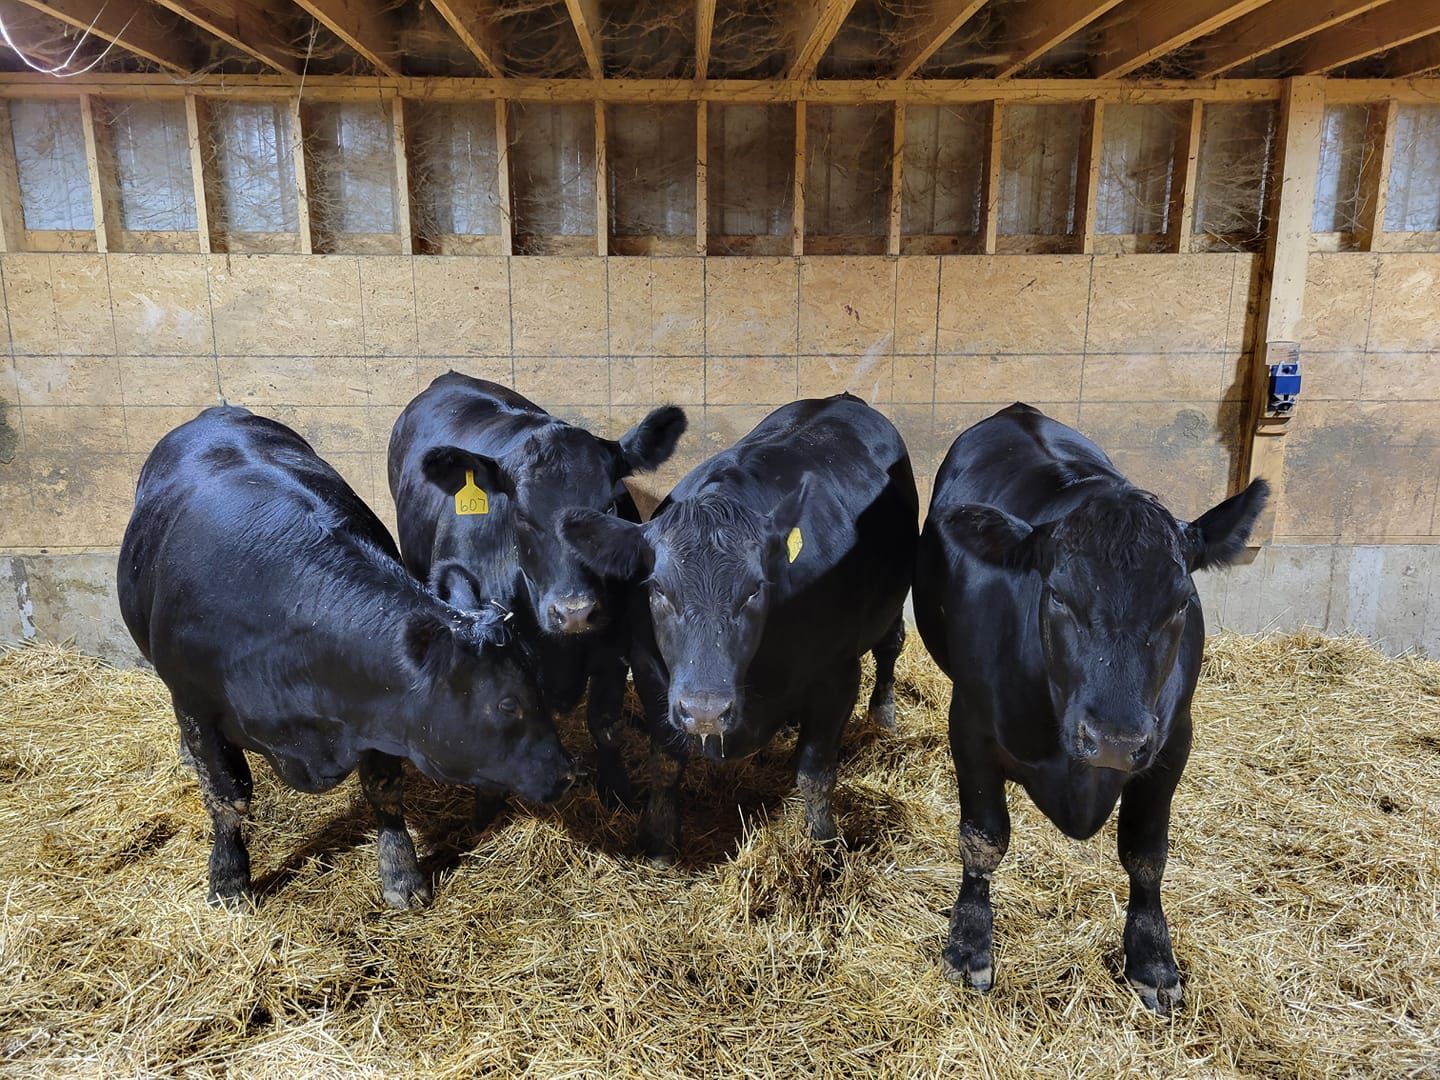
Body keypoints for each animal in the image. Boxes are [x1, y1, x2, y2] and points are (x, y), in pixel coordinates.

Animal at [118, 406, 575, 910]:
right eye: (507, 704)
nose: (567, 774)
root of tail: (218, 412)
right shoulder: (198, 706)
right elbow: (226, 798)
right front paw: (228, 879)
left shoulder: (375, 710)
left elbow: (383, 788)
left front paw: (401, 874)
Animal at [387, 372, 688, 812]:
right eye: (522, 516)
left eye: (608, 508)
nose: (575, 611)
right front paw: (486, 804)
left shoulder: (615, 646)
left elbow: (604, 723)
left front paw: (616, 791)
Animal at [558, 393, 917, 862]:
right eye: (658, 589)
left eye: (754, 590)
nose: (706, 711)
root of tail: (843, 398)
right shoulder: (653, 673)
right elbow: (666, 762)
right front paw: (658, 839)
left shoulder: (837, 675)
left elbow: (816, 771)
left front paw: (824, 845)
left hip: (895, 596)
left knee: (891, 646)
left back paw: (884, 714)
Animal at [913, 402, 1268, 1013]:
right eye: (1057, 594)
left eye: (1181, 603)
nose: (1116, 741)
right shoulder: (970, 726)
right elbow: (982, 838)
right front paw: (969, 944)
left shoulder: (1173, 742)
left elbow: (1147, 852)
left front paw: (1152, 959)